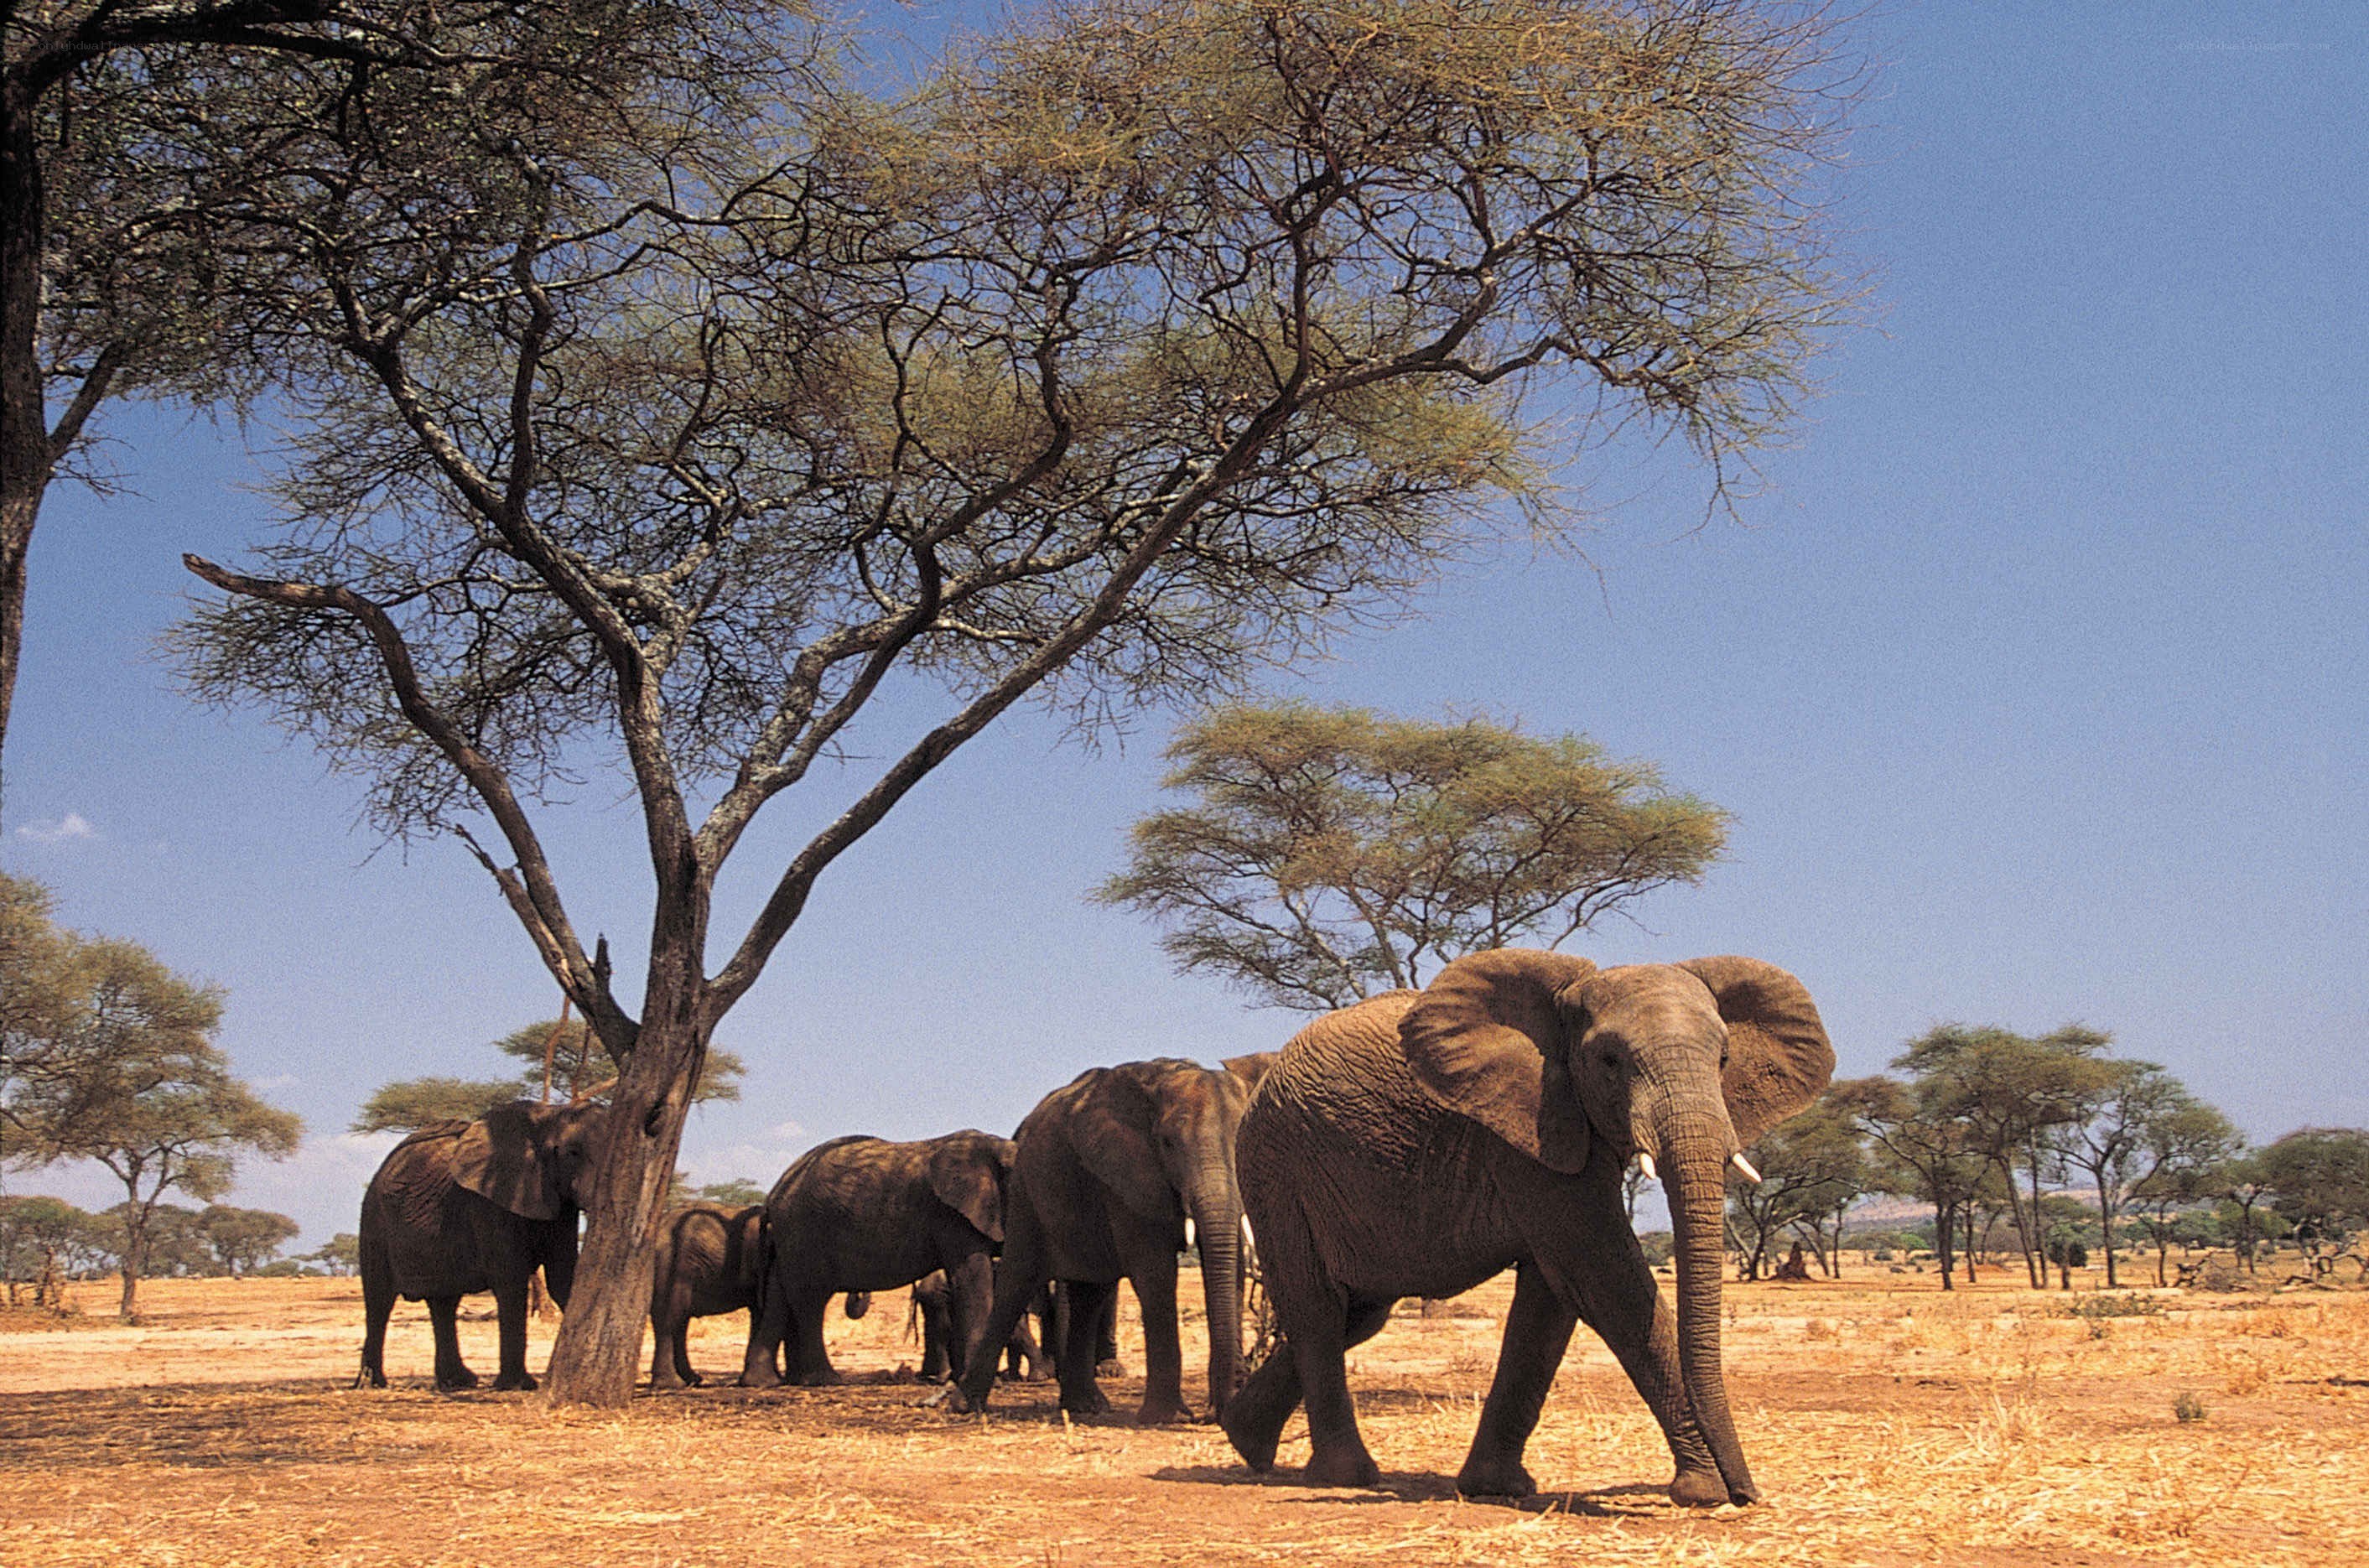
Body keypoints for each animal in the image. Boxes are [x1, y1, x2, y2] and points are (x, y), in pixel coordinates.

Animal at [357, 1100, 602, 1391]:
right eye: (573, 1153)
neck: (551, 1114)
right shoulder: (489, 1202)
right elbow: (511, 1281)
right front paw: (519, 1385)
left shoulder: (559, 1205)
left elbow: (564, 1278)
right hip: (374, 1222)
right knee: (379, 1301)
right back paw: (373, 1383)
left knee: (444, 1302)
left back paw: (458, 1381)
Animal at [739, 1130, 1014, 1388]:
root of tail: (773, 1195)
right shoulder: (954, 1216)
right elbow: (972, 1282)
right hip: (804, 1229)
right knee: (811, 1299)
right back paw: (824, 1380)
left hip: (789, 1238)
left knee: (779, 1297)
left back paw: (764, 1382)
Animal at [954, 1055, 1265, 1424]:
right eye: (1167, 1144)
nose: (1212, 1416)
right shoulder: (1123, 1175)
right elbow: (1155, 1273)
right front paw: (1165, 1418)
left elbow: (1230, 1268)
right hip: (1026, 1192)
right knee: (1017, 1282)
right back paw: (967, 1406)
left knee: (1091, 1293)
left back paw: (1085, 1406)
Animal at [1220, 950, 1832, 1506]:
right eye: (1609, 1061)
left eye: (1724, 1057)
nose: (1750, 1495)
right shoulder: (1528, 1129)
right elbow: (1602, 1277)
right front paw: (1704, 1491)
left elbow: (1549, 1301)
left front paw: (1496, 1489)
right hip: (1276, 1169)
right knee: (1318, 1309)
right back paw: (1344, 1477)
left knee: (1360, 1312)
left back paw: (1247, 1442)